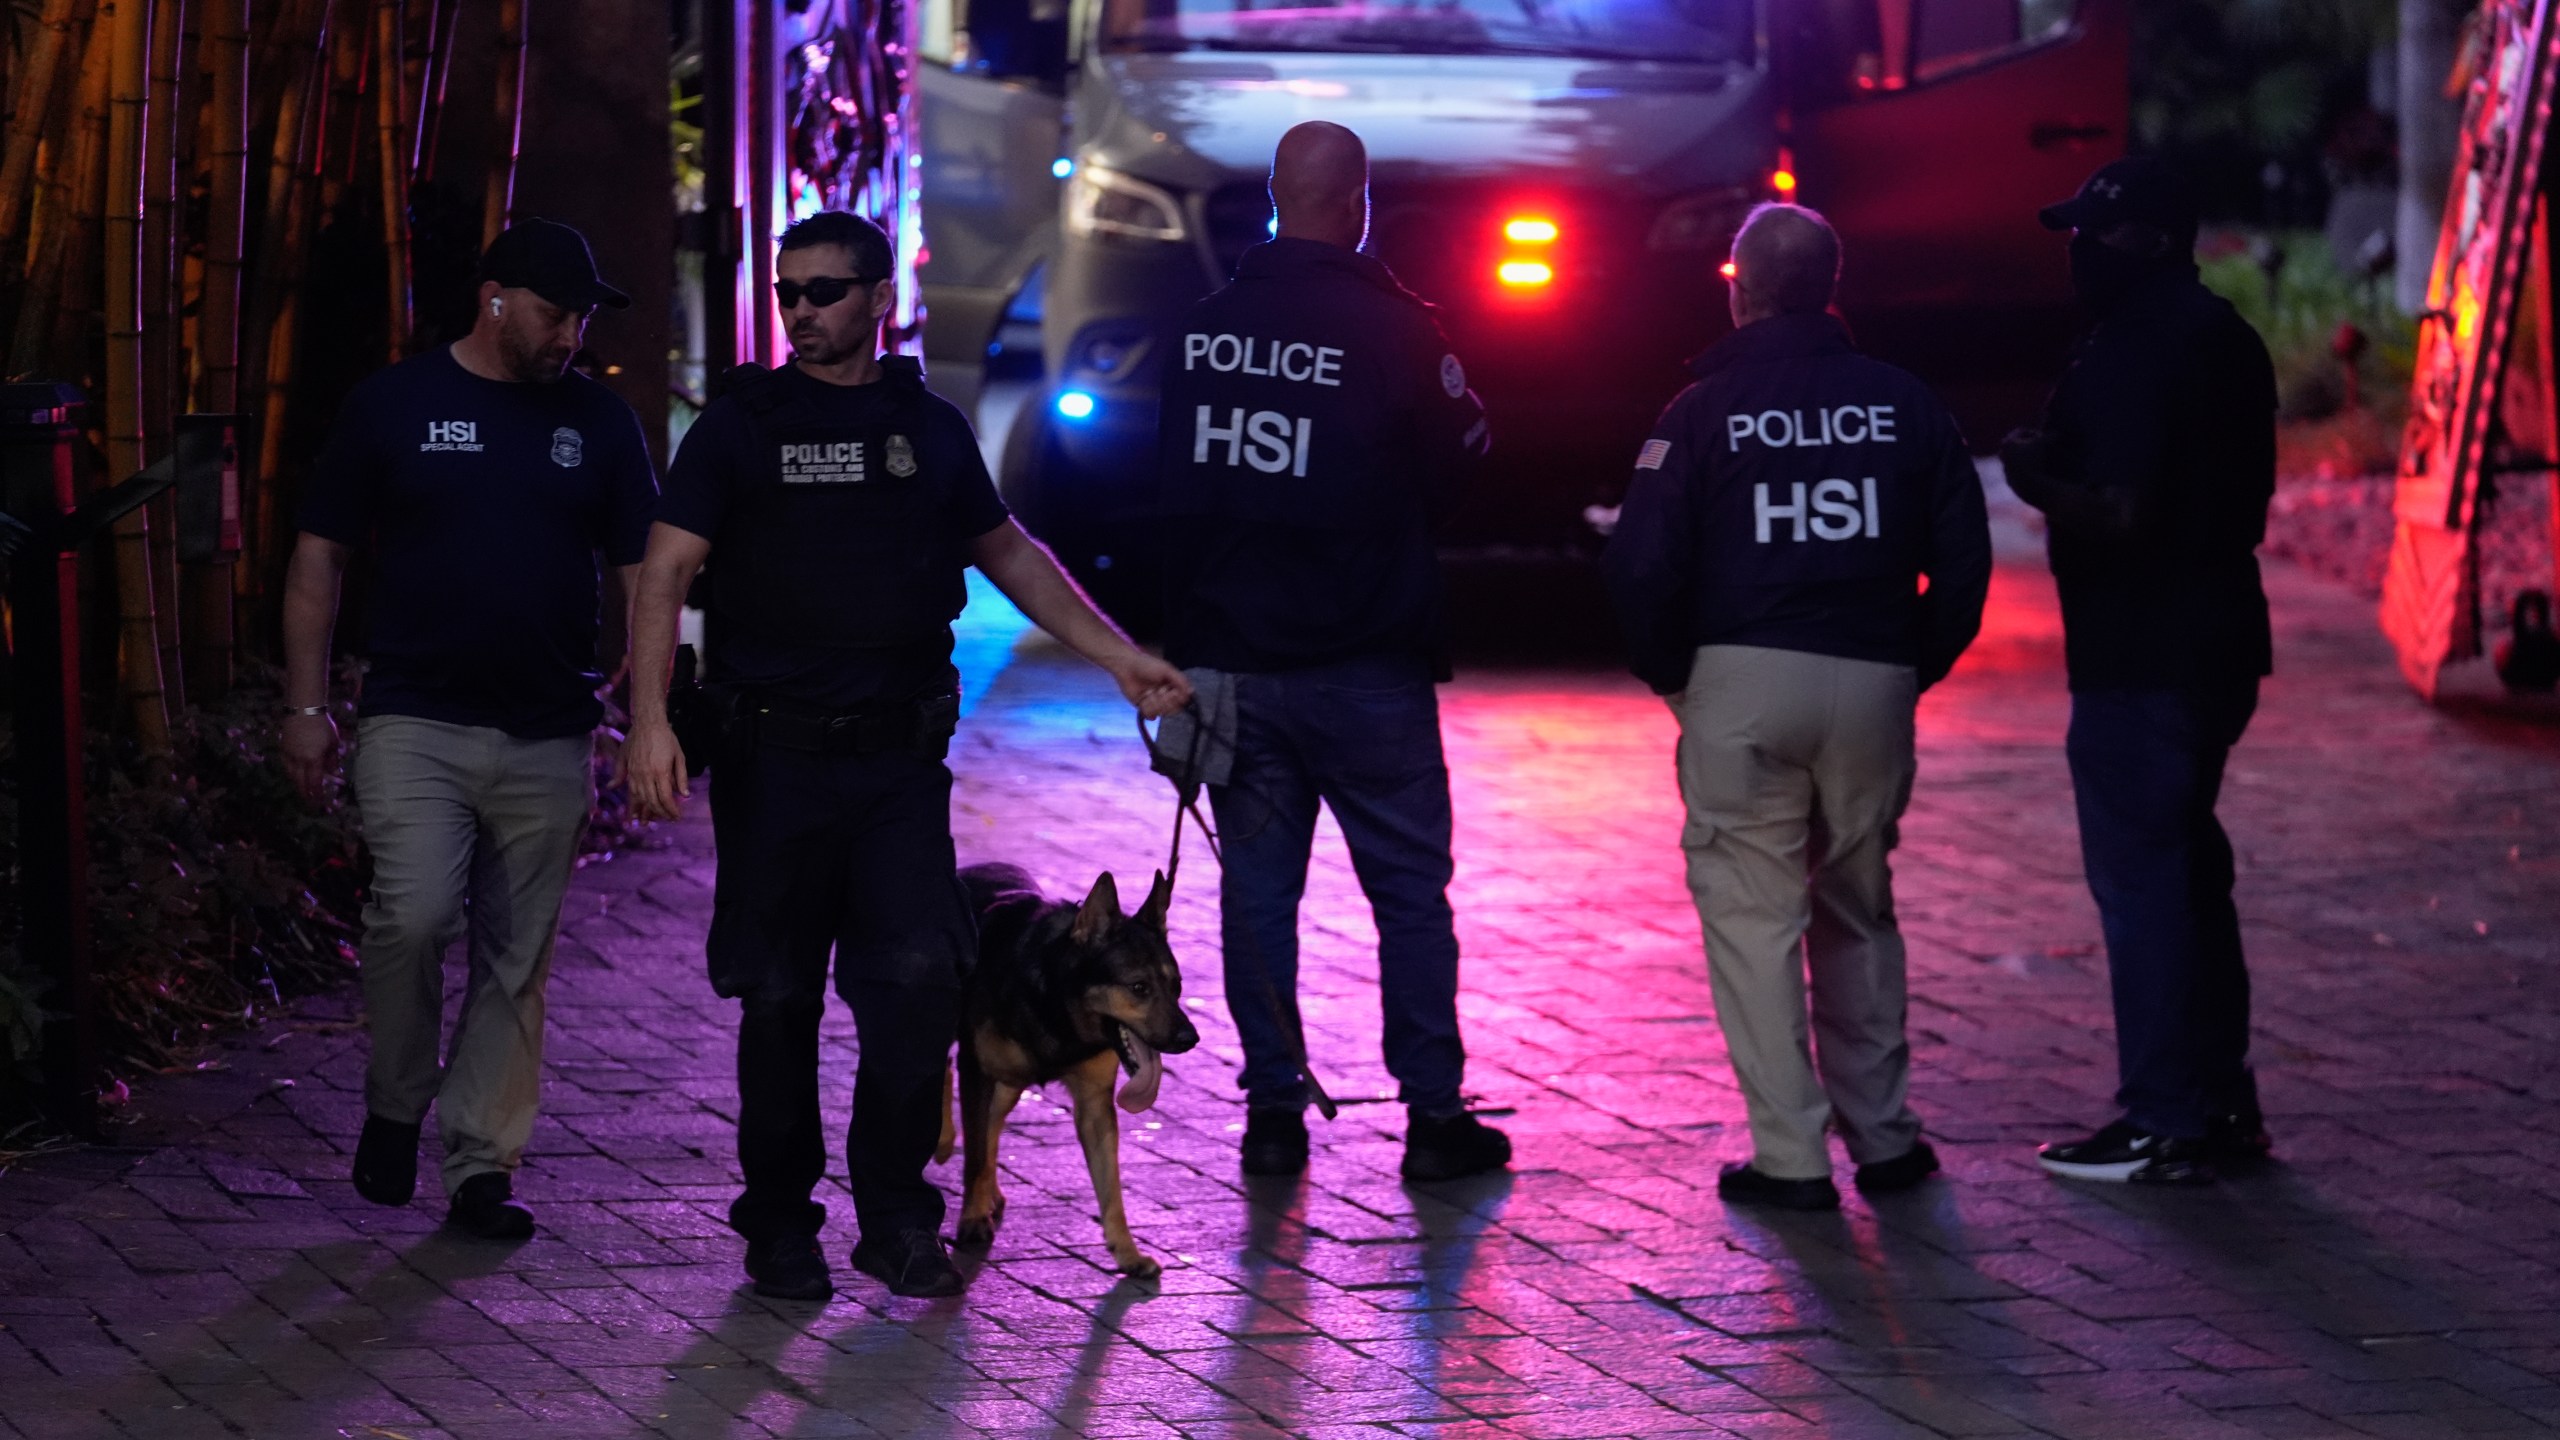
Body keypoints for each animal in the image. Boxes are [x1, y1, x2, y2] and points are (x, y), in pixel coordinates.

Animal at [957, 855, 1203, 1270]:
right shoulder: (974, 1073)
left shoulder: (1094, 1106)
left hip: (1009, 1085)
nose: (1190, 1039)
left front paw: (1127, 1252)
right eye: (1139, 988)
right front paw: (972, 1218)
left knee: (993, 1126)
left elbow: (1111, 1187)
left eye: (1177, 987)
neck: (1055, 1000)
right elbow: (973, 1156)